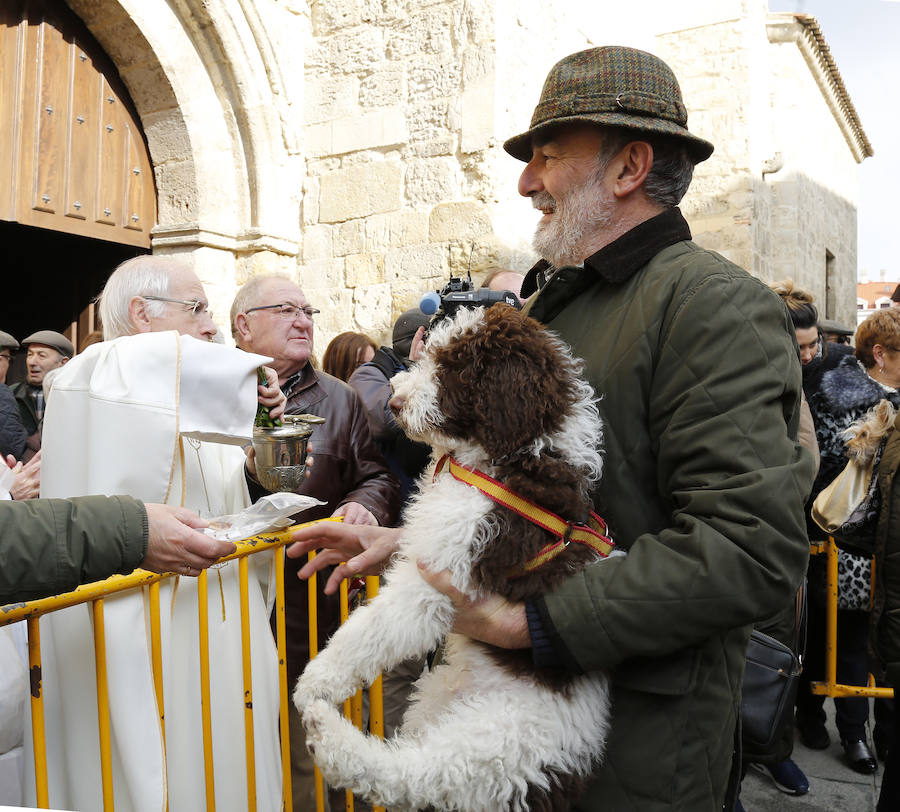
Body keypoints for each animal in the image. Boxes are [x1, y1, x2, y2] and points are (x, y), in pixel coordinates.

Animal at [296, 306, 620, 812]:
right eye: (428, 354)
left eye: (453, 370)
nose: (393, 403)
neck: (506, 460)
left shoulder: (439, 575)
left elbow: (372, 628)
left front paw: (315, 680)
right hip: (436, 697)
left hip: (498, 747)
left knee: (416, 775)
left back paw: (327, 733)